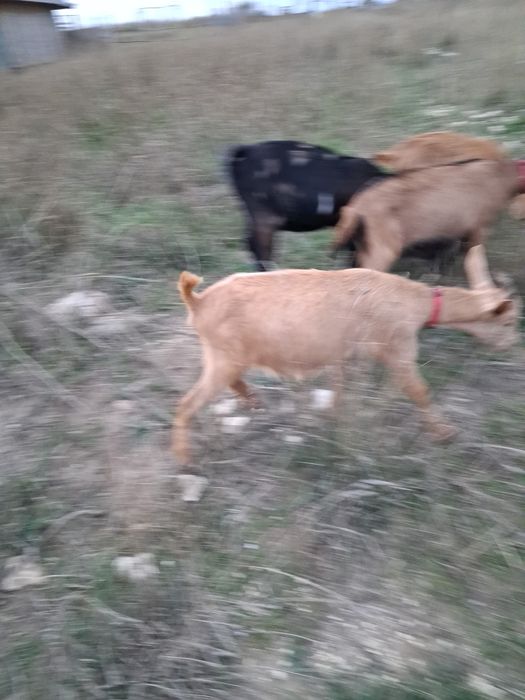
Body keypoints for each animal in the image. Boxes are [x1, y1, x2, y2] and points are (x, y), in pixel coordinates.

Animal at [173, 246, 520, 475]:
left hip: (227, 356)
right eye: (508, 322)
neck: (417, 303)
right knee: (187, 403)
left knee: (231, 382)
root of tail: (198, 302)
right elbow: (419, 392)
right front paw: (445, 433)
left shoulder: (346, 356)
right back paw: (185, 458)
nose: (512, 344)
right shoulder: (398, 349)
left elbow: (341, 389)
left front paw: (335, 418)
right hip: (223, 357)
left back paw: (254, 402)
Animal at [331, 158, 525, 273]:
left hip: (363, 244)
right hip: (382, 249)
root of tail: (357, 208)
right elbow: (473, 256)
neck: (500, 175)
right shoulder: (479, 228)